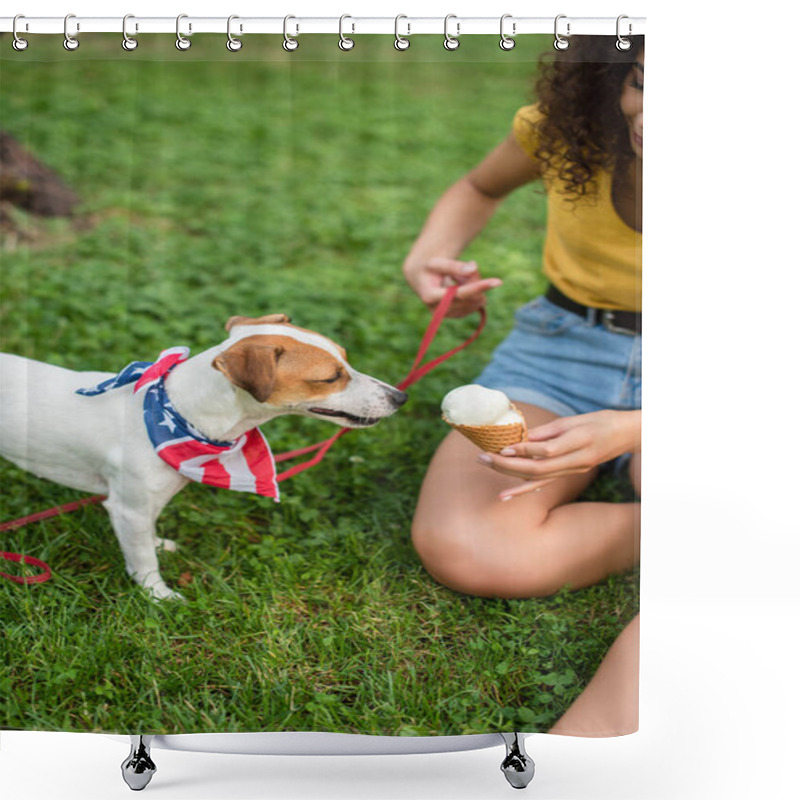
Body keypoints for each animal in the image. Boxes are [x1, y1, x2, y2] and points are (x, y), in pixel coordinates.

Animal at [0, 314, 406, 600]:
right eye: (329, 378)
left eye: (346, 362)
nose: (400, 397)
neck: (177, 414)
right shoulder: (128, 507)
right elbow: (143, 560)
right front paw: (159, 596)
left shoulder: (146, 505)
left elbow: (148, 536)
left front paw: (159, 544)